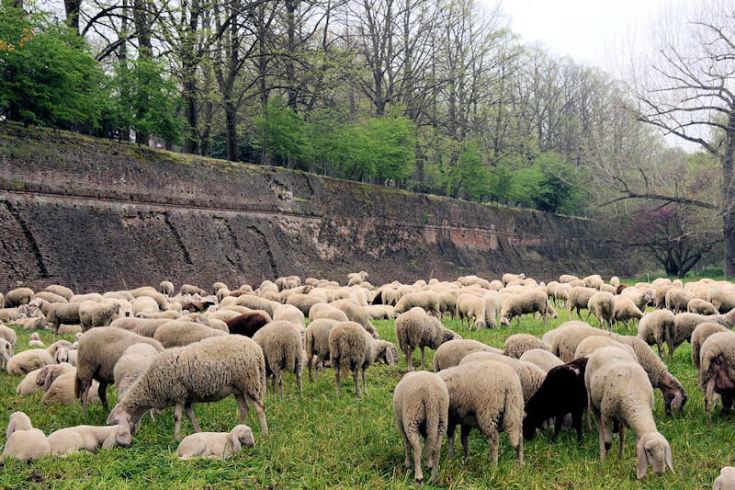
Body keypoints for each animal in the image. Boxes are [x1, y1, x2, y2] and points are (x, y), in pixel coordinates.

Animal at [107, 335, 268, 440]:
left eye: (115, 422)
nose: (131, 436)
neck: (150, 384)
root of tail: (257, 349)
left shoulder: (178, 394)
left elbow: (177, 417)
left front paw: (176, 438)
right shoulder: (186, 397)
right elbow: (191, 416)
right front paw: (198, 432)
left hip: (249, 382)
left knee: (260, 409)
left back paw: (264, 434)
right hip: (237, 388)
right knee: (243, 409)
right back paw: (237, 429)